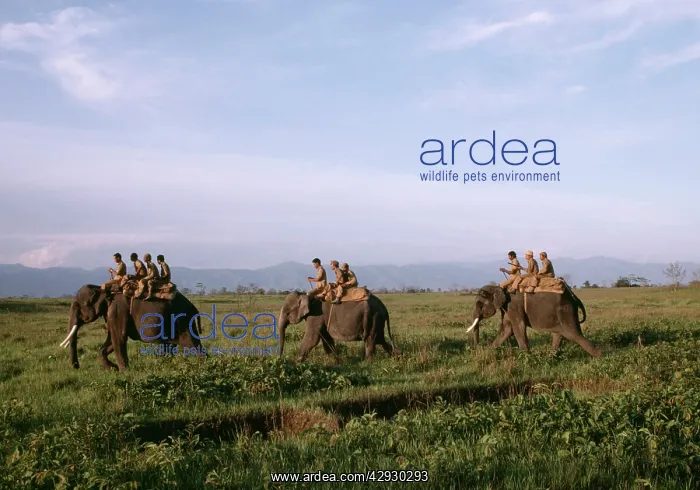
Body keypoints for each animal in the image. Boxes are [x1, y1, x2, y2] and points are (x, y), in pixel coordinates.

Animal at [60, 284, 204, 371]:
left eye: (78, 307)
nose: (76, 366)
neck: (101, 288)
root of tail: (193, 306)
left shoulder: (117, 310)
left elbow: (118, 338)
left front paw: (123, 372)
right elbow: (111, 340)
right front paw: (112, 369)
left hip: (184, 320)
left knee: (191, 343)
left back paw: (201, 365)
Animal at [466, 284, 601, 357]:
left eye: (479, 304)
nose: (476, 348)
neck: (500, 287)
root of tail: (574, 297)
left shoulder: (513, 305)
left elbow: (518, 327)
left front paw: (525, 355)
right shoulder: (507, 308)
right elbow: (507, 329)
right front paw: (490, 351)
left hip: (566, 311)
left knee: (573, 334)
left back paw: (599, 355)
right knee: (560, 334)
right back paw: (552, 356)